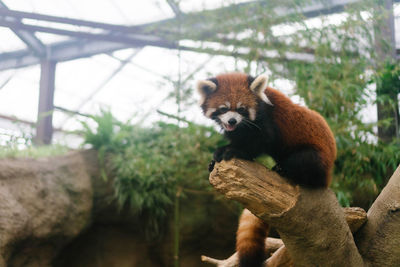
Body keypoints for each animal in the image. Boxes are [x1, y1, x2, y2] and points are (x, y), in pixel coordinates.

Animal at [197, 72, 338, 267]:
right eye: (223, 109)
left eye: (241, 109)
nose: (232, 120)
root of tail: (328, 176)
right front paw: (217, 156)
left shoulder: (267, 121)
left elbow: (261, 141)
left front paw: (235, 151)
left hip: (316, 159)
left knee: (303, 161)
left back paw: (283, 169)